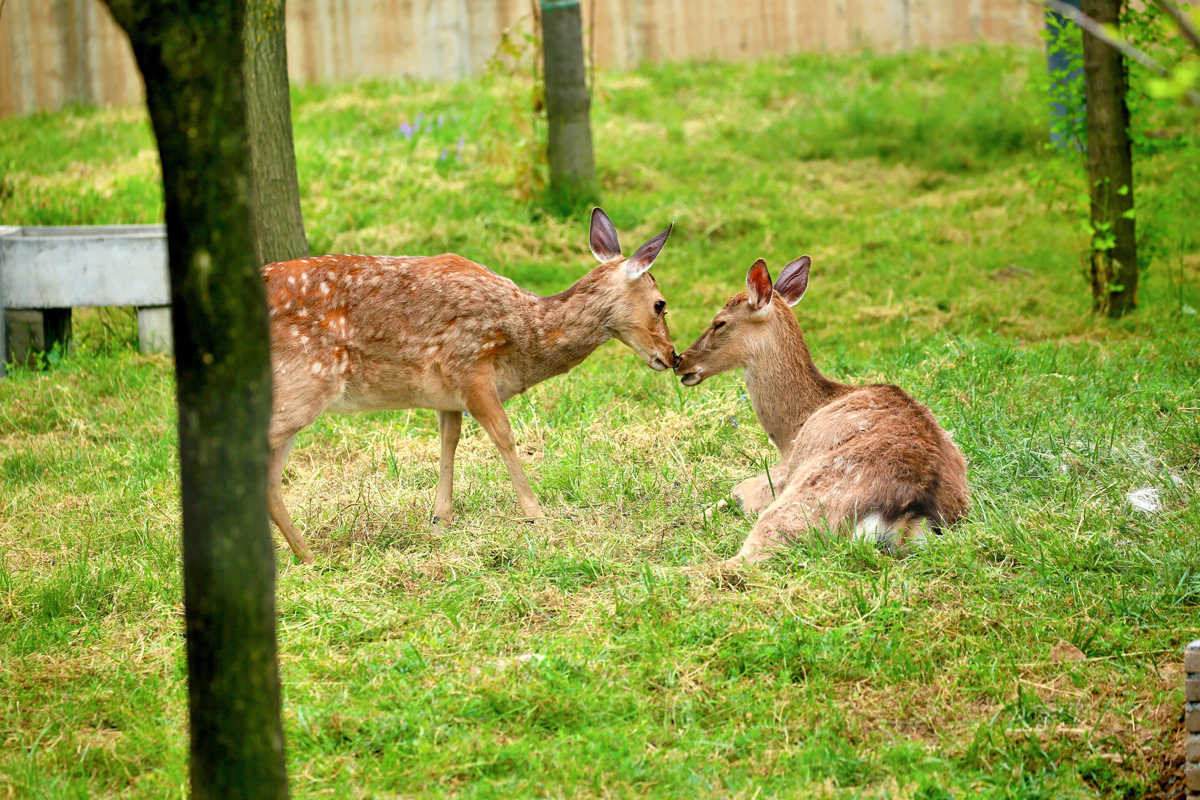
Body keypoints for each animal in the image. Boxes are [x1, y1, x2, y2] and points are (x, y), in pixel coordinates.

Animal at [264, 209, 676, 566]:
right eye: (660, 304)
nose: (671, 356)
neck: (524, 333)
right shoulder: (469, 363)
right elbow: (504, 434)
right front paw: (537, 516)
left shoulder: (447, 393)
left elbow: (450, 439)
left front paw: (440, 520)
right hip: (303, 383)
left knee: (270, 481)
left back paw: (307, 556)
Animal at [672, 256, 969, 563]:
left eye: (719, 322)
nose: (679, 360)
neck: (791, 431)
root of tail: (911, 515)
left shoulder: (779, 475)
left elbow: (736, 490)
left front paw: (688, 519)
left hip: (802, 507)